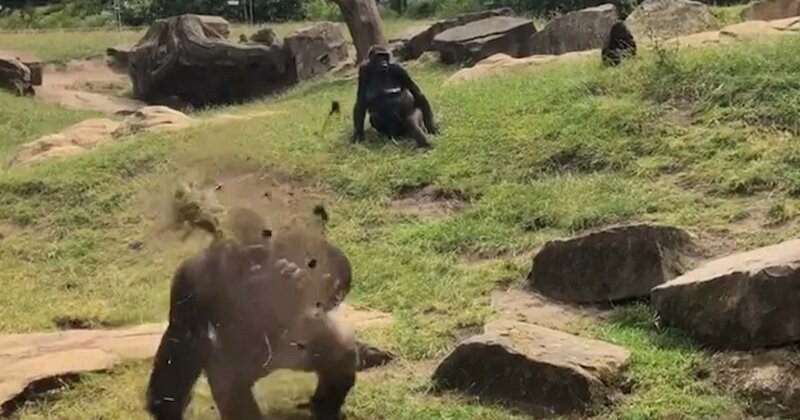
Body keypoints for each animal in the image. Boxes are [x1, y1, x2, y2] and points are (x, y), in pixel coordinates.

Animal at [145, 207, 356, 420]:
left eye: (259, 257)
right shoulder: (190, 279)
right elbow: (182, 343)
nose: (256, 269)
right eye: (251, 258)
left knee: (337, 356)